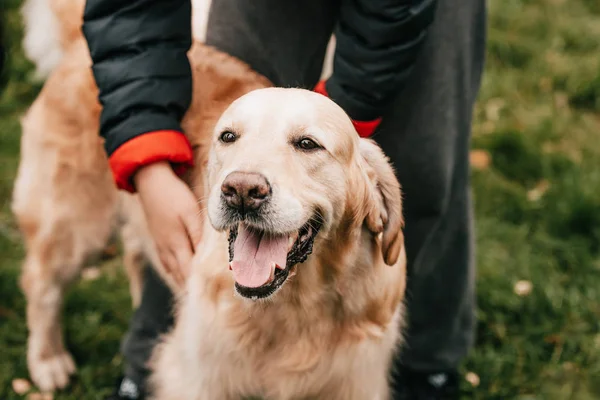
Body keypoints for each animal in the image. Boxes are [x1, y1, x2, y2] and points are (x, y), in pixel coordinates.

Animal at [12, 0, 408, 396]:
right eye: (228, 136)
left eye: (308, 143)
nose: (242, 191)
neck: (294, 309)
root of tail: (83, 44)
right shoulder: (197, 377)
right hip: (76, 225)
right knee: (41, 284)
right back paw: (48, 361)